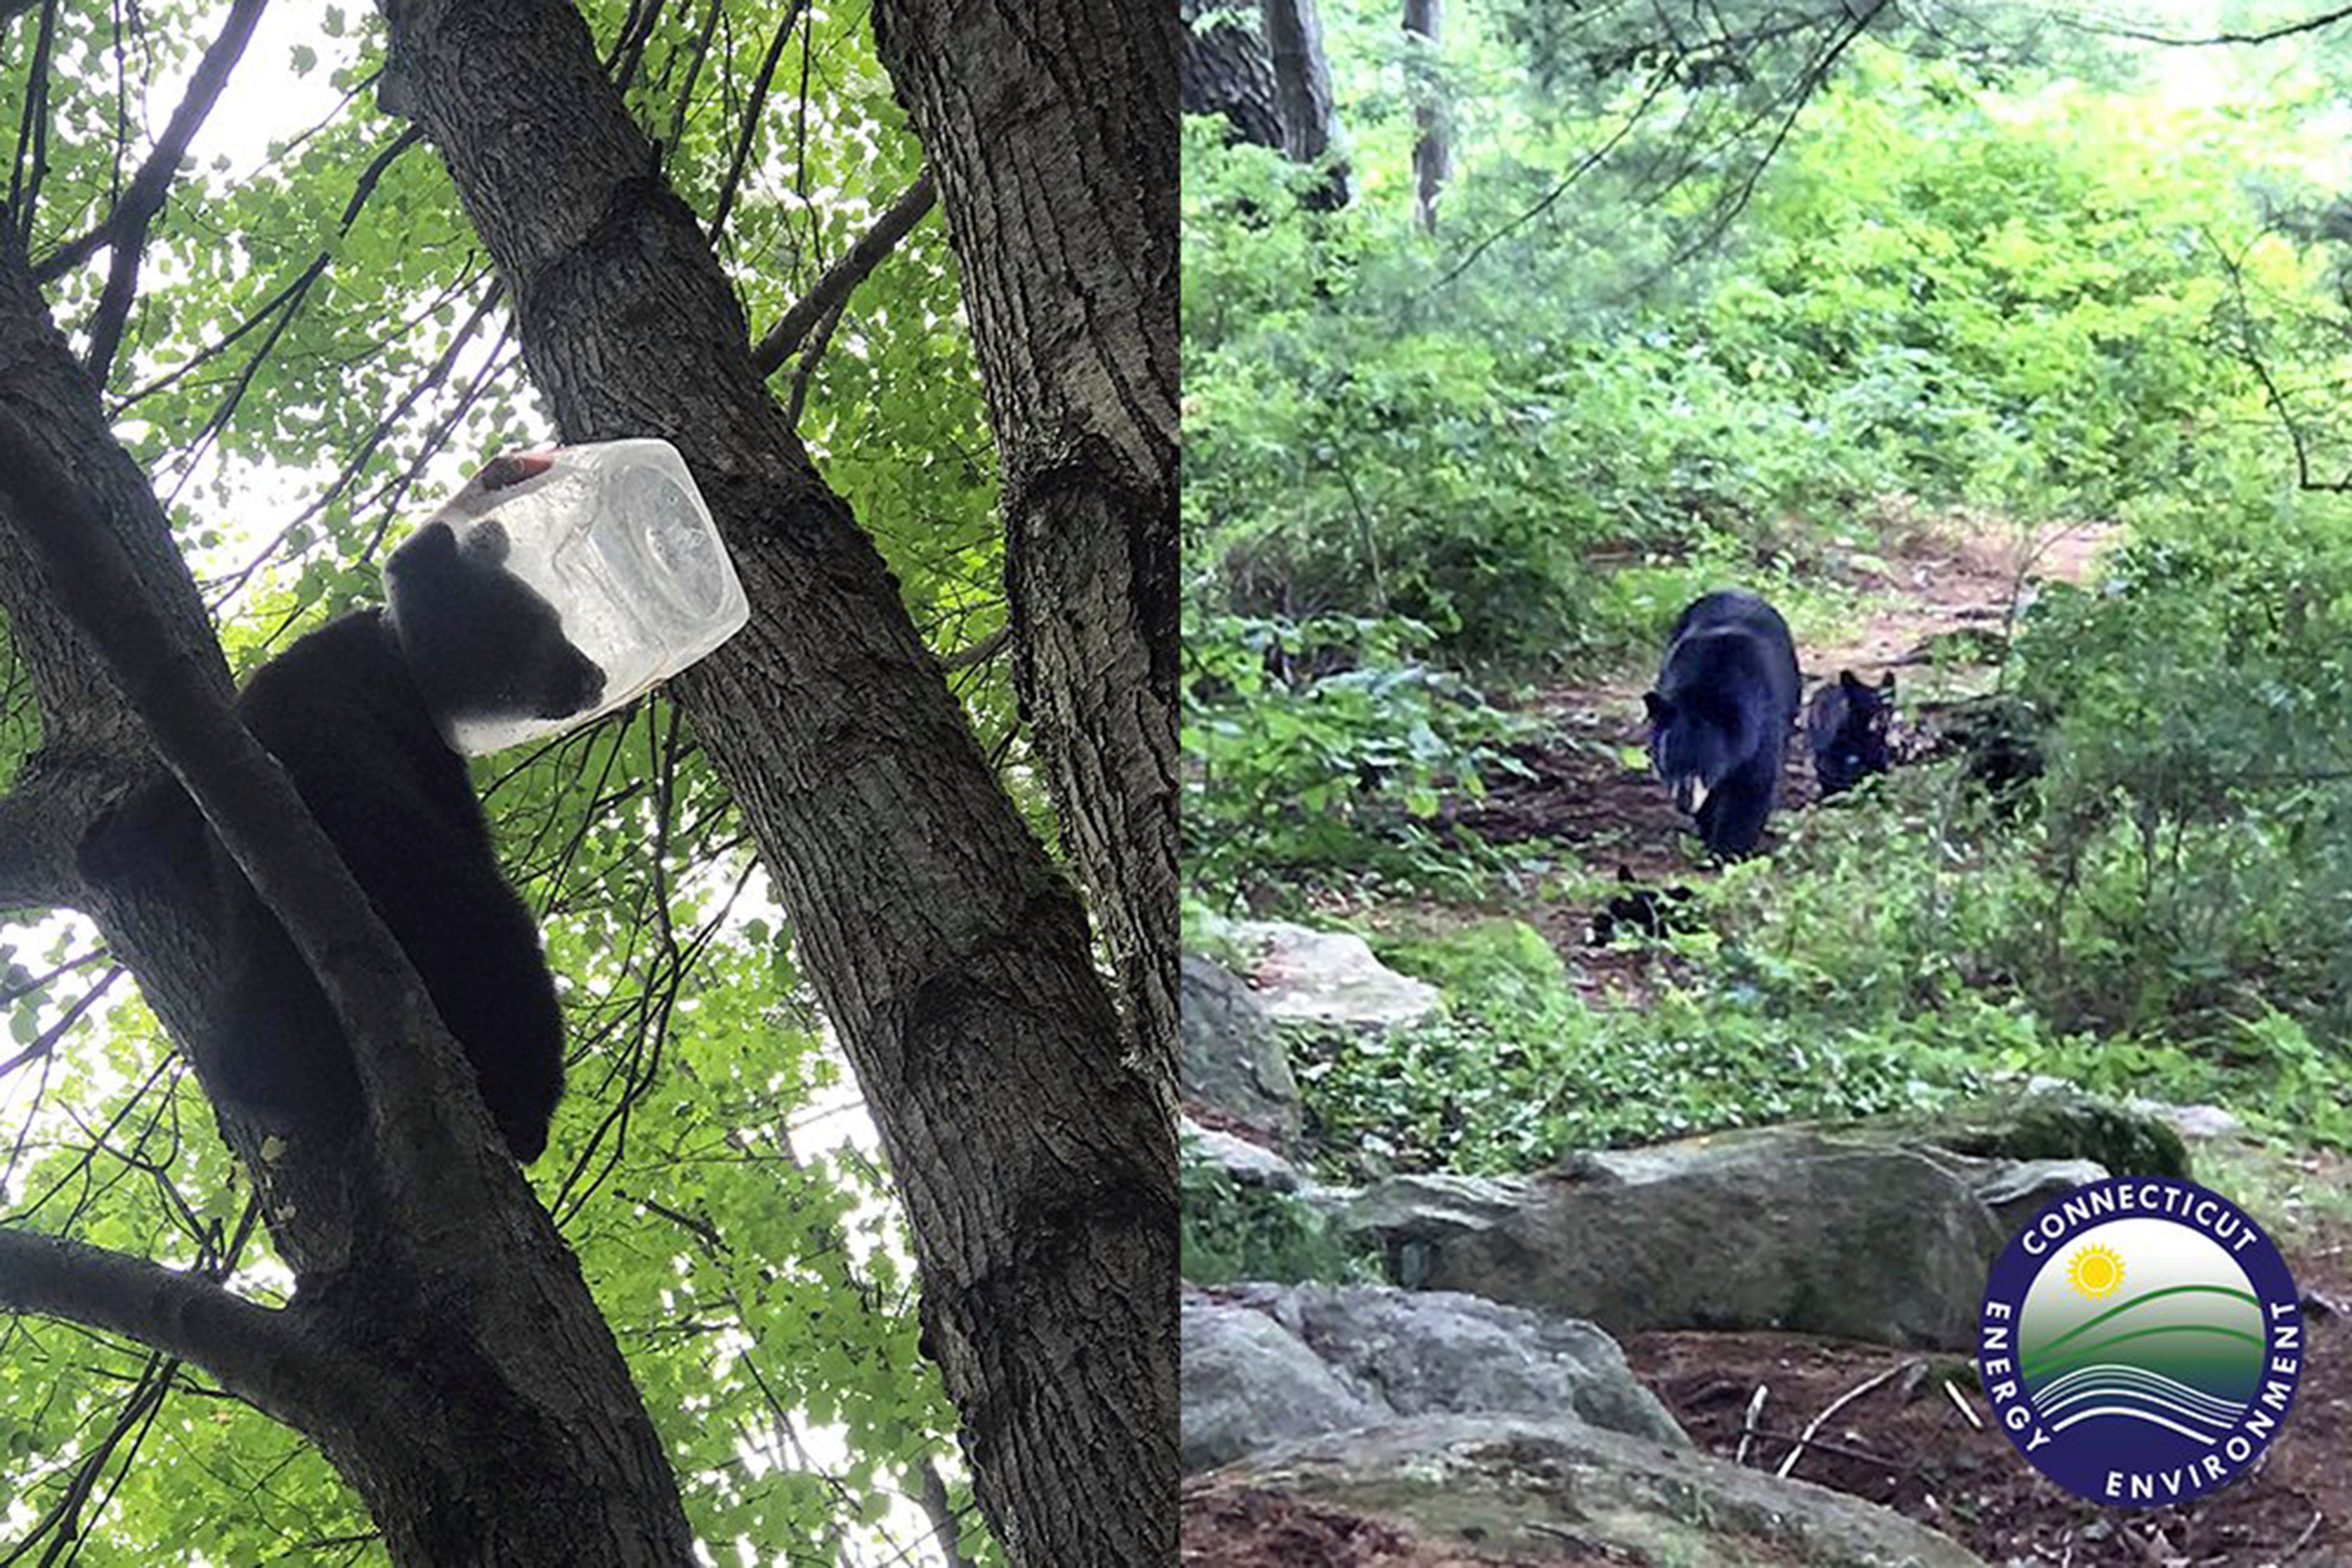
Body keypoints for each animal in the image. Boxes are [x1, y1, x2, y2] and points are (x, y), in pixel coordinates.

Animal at [1656, 588, 1797, 860]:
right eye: (1668, 767)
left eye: (1704, 768)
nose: (1683, 804)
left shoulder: (1762, 722)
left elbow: (1752, 787)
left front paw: (1729, 851)